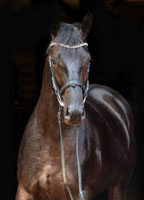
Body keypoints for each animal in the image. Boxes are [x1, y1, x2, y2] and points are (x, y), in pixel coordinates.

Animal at [16, 12, 136, 200]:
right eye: (54, 59)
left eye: (88, 59)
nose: (74, 113)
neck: (51, 140)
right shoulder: (24, 190)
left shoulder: (81, 193)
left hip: (118, 186)